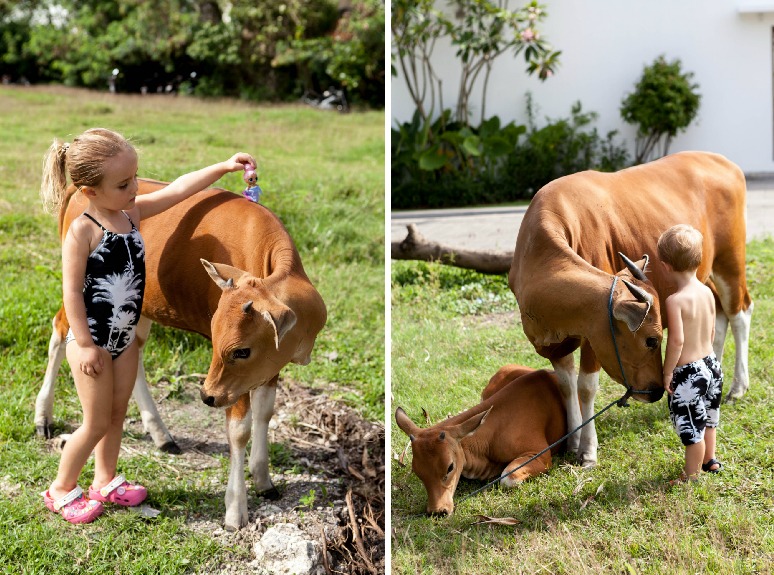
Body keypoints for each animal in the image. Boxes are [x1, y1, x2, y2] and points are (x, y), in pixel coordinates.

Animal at [512, 152, 756, 468]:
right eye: (651, 340)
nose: (656, 390)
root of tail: (724, 162)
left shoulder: (594, 337)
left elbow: (586, 386)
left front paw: (588, 450)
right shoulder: (557, 343)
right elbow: (566, 385)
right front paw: (572, 440)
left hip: (730, 260)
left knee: (740, 313)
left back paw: (738, 386)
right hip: (704, 272)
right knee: (719, 314)